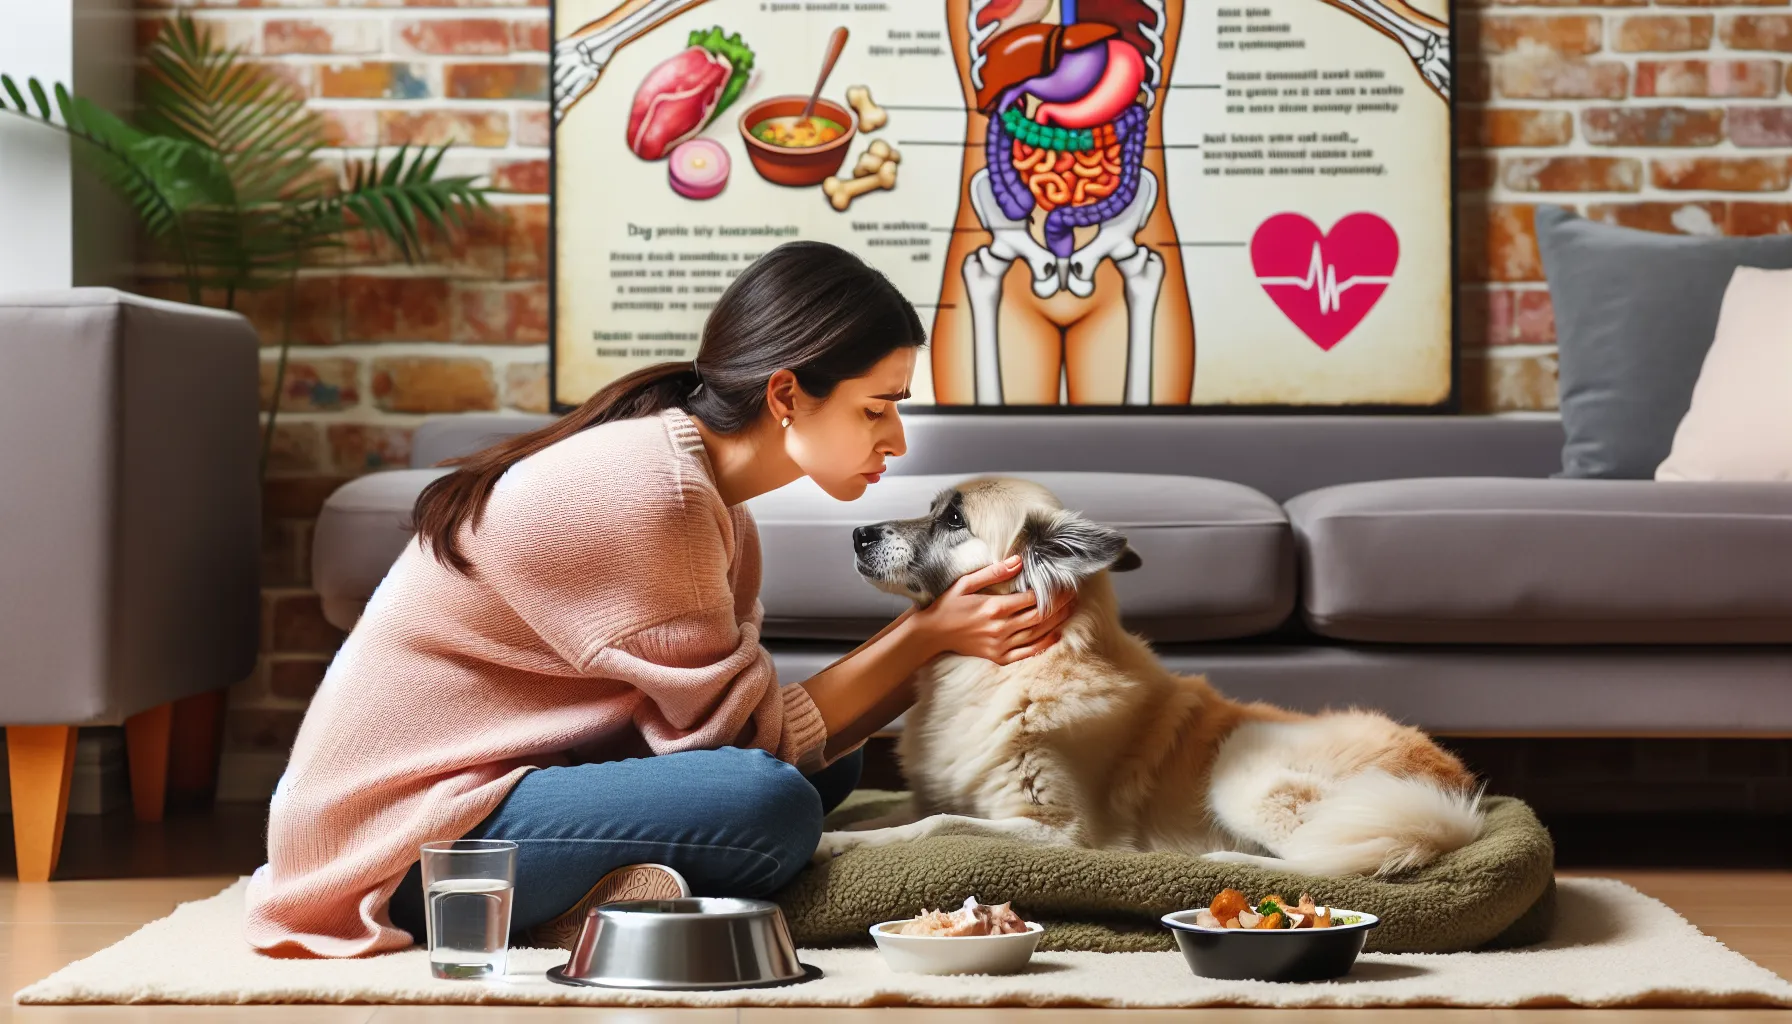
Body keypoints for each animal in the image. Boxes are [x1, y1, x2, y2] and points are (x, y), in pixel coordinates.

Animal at [820, 477, 1483, 878]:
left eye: (954, 519)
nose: (856, 533)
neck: (1006, 671)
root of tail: (1452, 798)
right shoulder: (931, 795)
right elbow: (896, 816)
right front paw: (839, 834)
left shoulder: (1061, 832)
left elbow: (937, 825)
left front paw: (832, 843)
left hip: (1245, 770)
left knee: (1325, 862)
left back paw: (1224, 864)